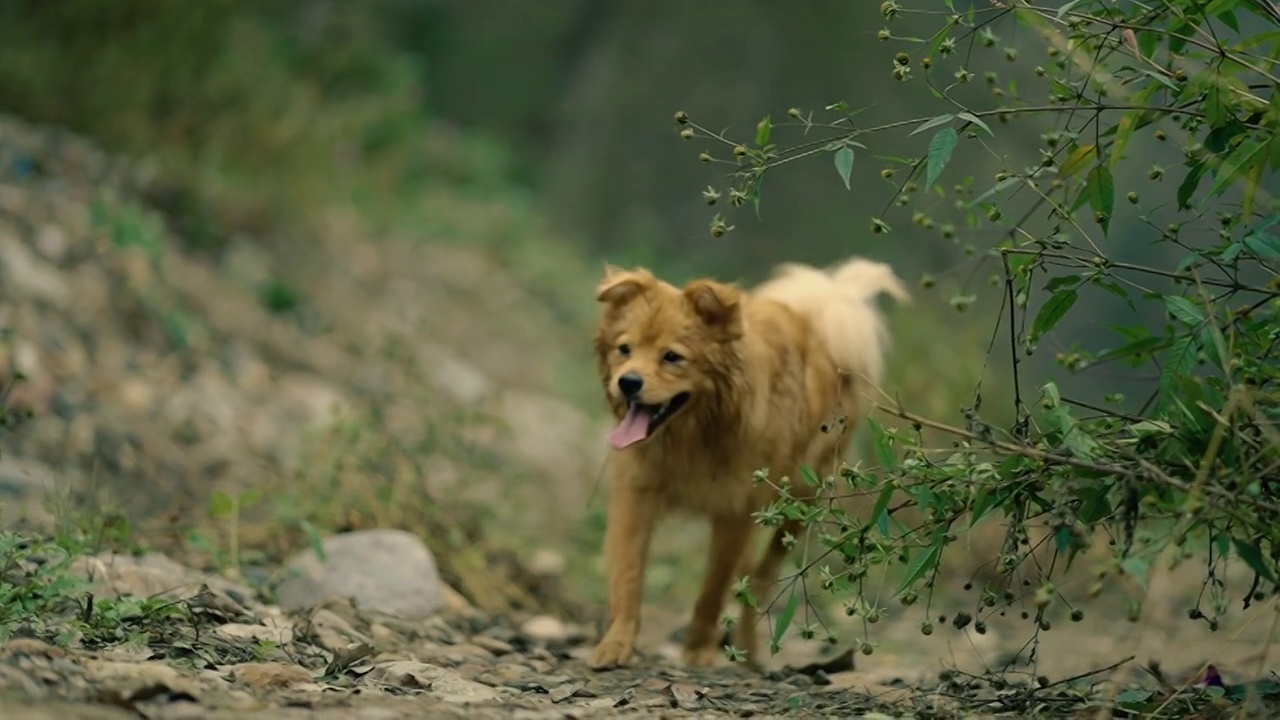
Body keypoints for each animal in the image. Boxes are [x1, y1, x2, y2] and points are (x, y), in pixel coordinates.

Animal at [588, 253, 911, 666]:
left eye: (672, 357)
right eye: (624, 349)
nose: (627, 382)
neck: (693, 435)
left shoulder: (735, 511)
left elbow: (711, 590)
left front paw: (697, 650)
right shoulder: (637, 497)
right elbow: (627, 576)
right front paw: (616, 644)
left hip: (797, 508)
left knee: (759, 581)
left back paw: (748, 650)